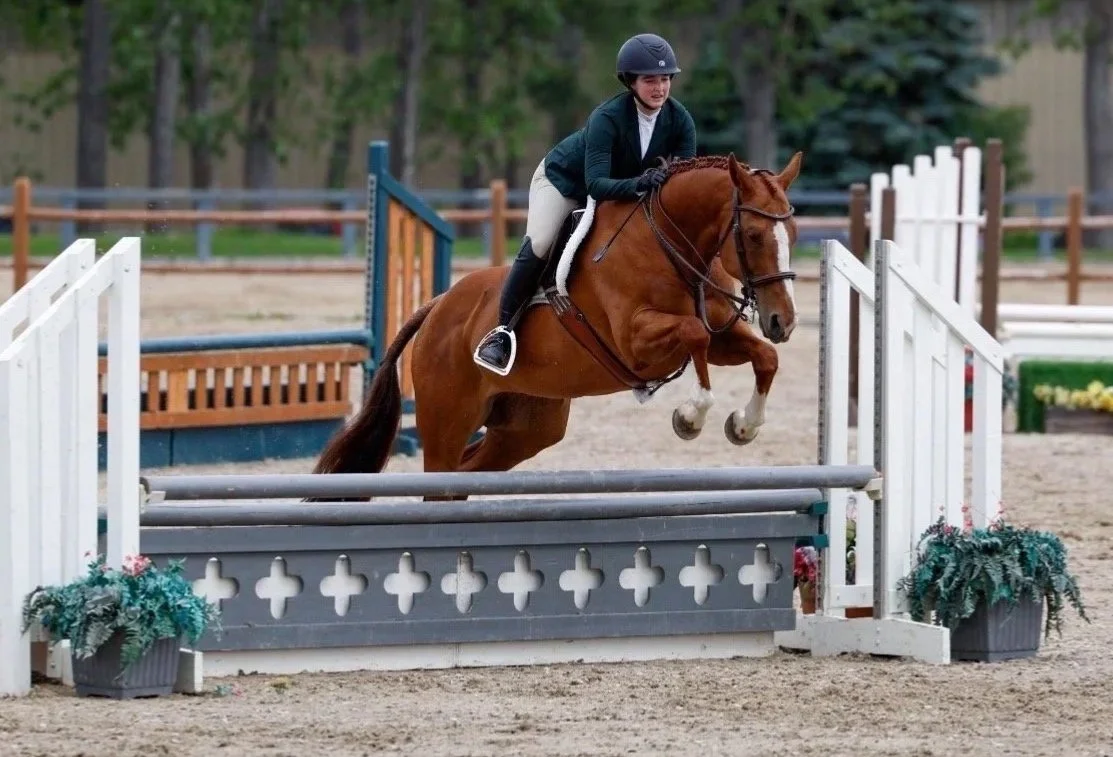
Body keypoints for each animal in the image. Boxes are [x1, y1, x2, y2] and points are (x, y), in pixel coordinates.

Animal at [312, 151, 803, 497]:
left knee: (467, 474)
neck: (673, 244)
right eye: (753, 236)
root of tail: (436, 308)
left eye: (795, 234)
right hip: (446, 419)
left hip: (526, 428)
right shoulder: (636, 341)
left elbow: (764, 356)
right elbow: (694, 334)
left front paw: (743, 425)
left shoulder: (722, 338)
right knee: (441, 480)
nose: (782, 320)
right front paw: (691, 416)